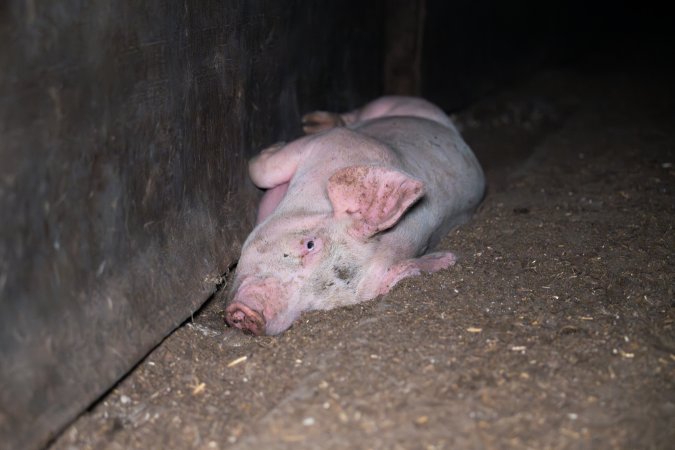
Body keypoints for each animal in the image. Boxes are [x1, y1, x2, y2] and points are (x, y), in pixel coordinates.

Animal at [227, 96, 486, 334]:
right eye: (310, 244)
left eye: (317, 306)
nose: (252, 315)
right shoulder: (330, 142)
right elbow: (263, 170)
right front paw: (272, 147)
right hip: (401, 104)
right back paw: (311, 121)